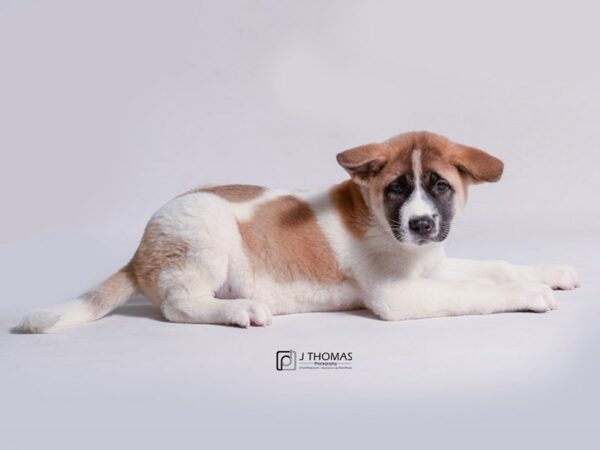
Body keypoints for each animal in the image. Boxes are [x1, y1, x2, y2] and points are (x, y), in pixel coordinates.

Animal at [16, 129, 580, 330]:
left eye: (440, 186)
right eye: (397, 188)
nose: (421, 224)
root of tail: (137, 254)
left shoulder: (432, 262)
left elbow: (495, 265)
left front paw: (551, 272)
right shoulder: (398, 295)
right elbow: (476, 289)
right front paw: (530, 294)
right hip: (206, 231)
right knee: (180, 307)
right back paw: (240, 310)